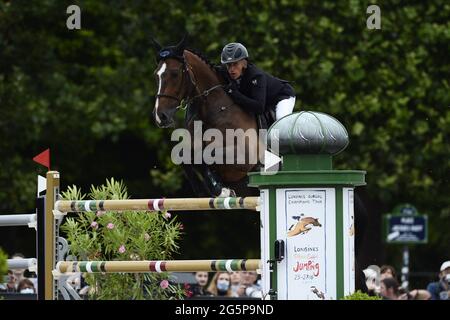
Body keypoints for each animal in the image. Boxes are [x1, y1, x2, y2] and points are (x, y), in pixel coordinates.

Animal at [151, 36, 262, 198]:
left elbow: (206, 154)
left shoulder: (244, 156)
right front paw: (208, 190)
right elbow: (183, 156)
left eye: (175, 73)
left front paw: (220, 189)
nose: (160, 116)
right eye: (156, 75)